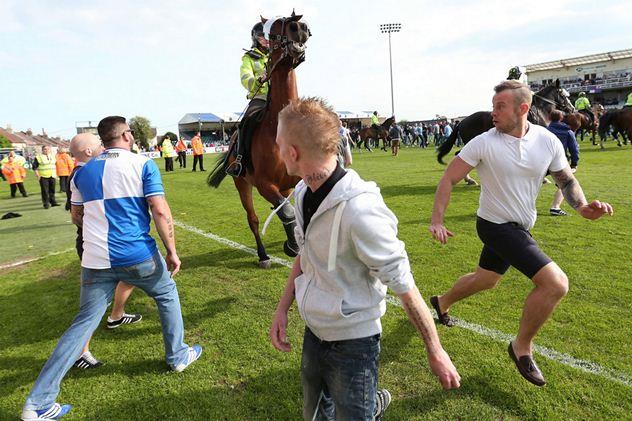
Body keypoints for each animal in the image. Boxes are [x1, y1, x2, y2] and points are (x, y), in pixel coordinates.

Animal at [207, 12, 311, 268]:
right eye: (273, 30)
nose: (300, 27)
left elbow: (293, 211)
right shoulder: (264, 184)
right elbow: (287, 212)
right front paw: (291, 247)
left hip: (283, 186)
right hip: (242, 184)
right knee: (253, 219)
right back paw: (263, 255)